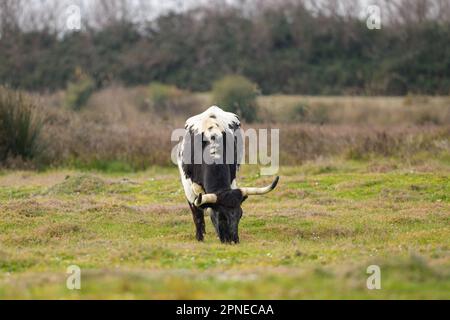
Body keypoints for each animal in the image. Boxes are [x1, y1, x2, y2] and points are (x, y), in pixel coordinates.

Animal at [176, 105, 278, 242]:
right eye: (221, 216)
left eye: (240, 215)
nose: (233, 241)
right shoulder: (188, 187)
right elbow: (197, 214)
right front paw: (199, 237)